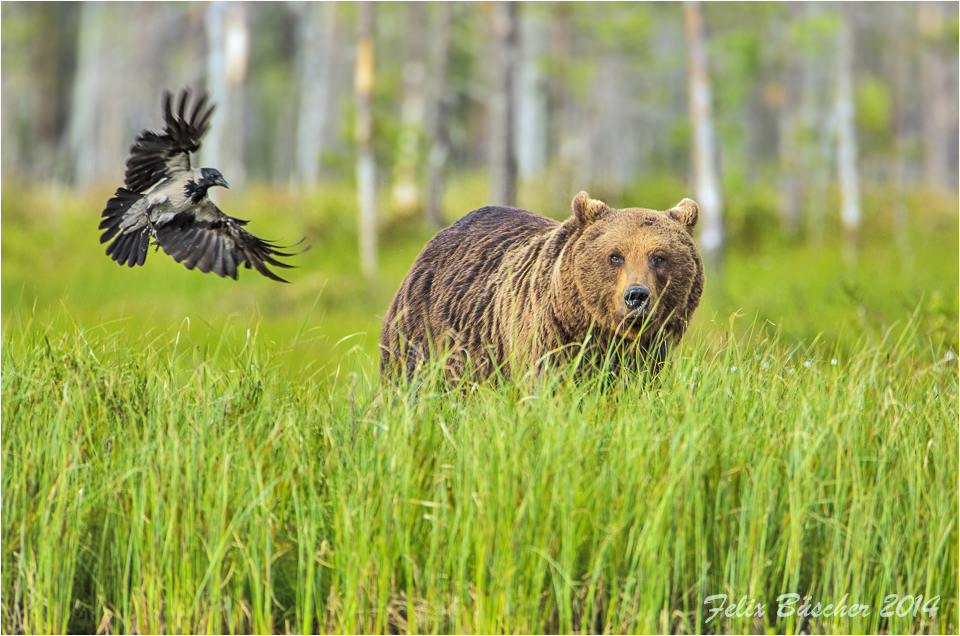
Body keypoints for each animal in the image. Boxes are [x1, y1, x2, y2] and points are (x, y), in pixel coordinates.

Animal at [378, 193, 700, 382]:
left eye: (659, 257)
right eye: (615, 256)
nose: (636, 297)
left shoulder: (647, 355)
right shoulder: (547, 339)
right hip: (425, 335)